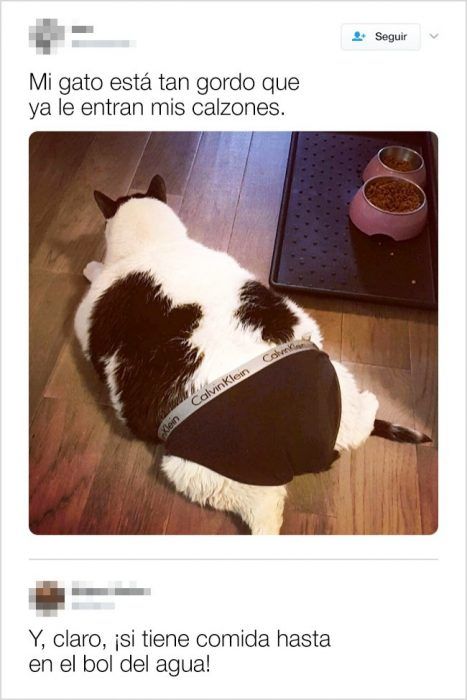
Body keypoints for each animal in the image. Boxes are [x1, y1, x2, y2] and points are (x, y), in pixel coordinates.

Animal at [74, 176, 432, 536]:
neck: (155, 245)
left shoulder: (83, 317)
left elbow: (94, 278)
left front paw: (91, 266)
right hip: (330, 371)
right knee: (358, 426)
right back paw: (375, 404)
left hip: (199, 471)